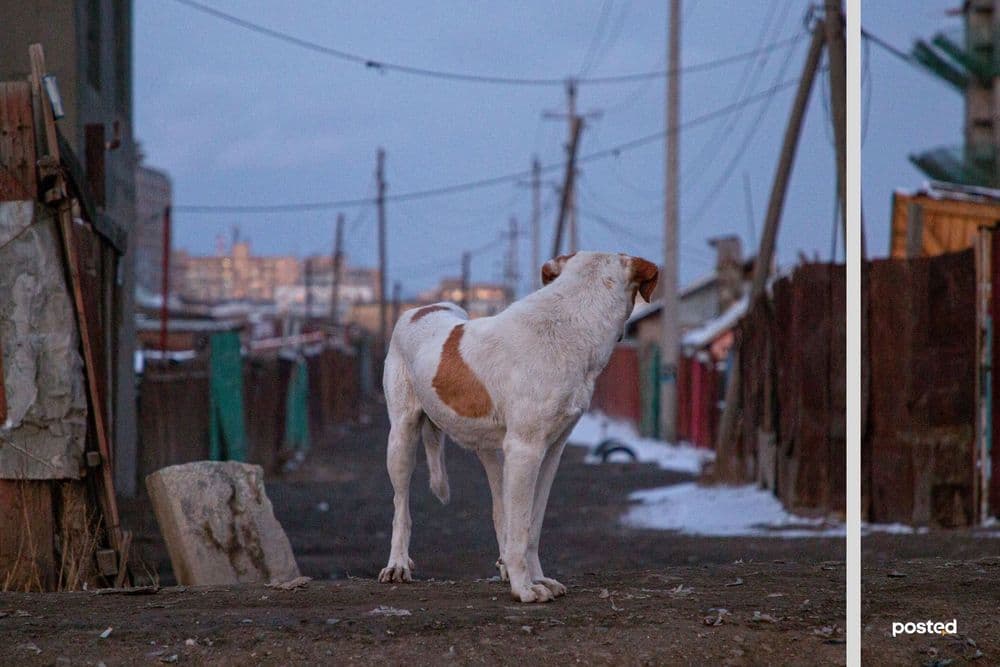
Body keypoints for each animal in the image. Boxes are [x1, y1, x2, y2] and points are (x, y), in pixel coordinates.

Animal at [376, 252, 656, 604]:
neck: (570, 324)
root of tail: (419, 309)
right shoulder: (526, 450)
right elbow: (521, 525)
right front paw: (524, 588)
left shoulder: (550, 452)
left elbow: (530, 525)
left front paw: (534, 577)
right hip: (401, 439)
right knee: (401, 507)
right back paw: (398, 564)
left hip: (493, 454)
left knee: (501, 512)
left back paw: (504, 565)